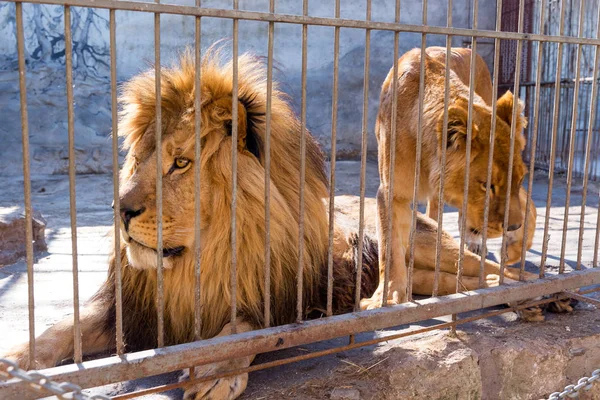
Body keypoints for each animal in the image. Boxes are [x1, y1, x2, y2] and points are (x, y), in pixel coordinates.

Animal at [358, 46, 528, 310]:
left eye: (519, 180)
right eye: (487, 186)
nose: (514, 227)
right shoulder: (391, 193)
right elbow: (390, 248)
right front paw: (387, 297)